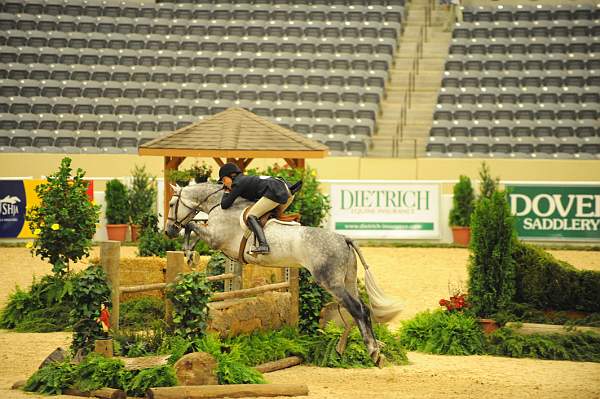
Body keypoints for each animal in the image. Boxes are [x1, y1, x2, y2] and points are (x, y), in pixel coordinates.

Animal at [165, 183, 404, 368]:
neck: (219, 205)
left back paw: (372, 351)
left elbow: (191, 225)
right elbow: (194, 227)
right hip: (348, 280)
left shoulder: (216, 238)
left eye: (171, 204)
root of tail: (344, 238)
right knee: (362, 309)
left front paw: (188, 254)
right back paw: (366, 351)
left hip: (330, 281)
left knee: (356, 309)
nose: (168, 231)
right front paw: (190, 254)